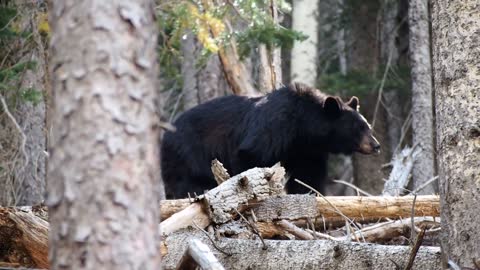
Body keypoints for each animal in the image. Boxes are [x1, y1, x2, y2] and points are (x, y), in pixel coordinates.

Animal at [160, 82, 378, 198]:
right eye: (358, 128)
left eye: (367, 126)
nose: (376, 145)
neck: (304, 127)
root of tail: (166, 133)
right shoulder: (275, 126)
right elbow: (250, 156)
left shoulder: (308, 150)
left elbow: (308, 176)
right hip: (187, 153)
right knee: (186, 183)